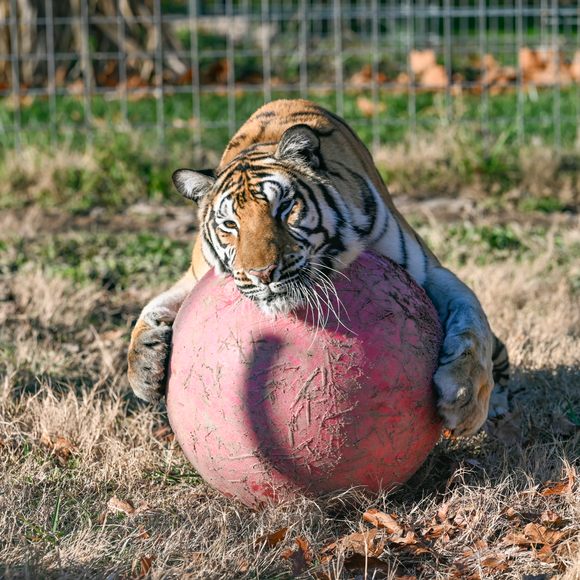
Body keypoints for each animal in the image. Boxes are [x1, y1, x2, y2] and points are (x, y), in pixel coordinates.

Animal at [127, 99, 508, 436]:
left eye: (283, 207)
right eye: (230, 225)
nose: (262, 274)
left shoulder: (430, 271)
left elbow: (474, 320)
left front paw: (466, 401)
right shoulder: (195, 276)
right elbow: (151, 307)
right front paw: (144, 367)